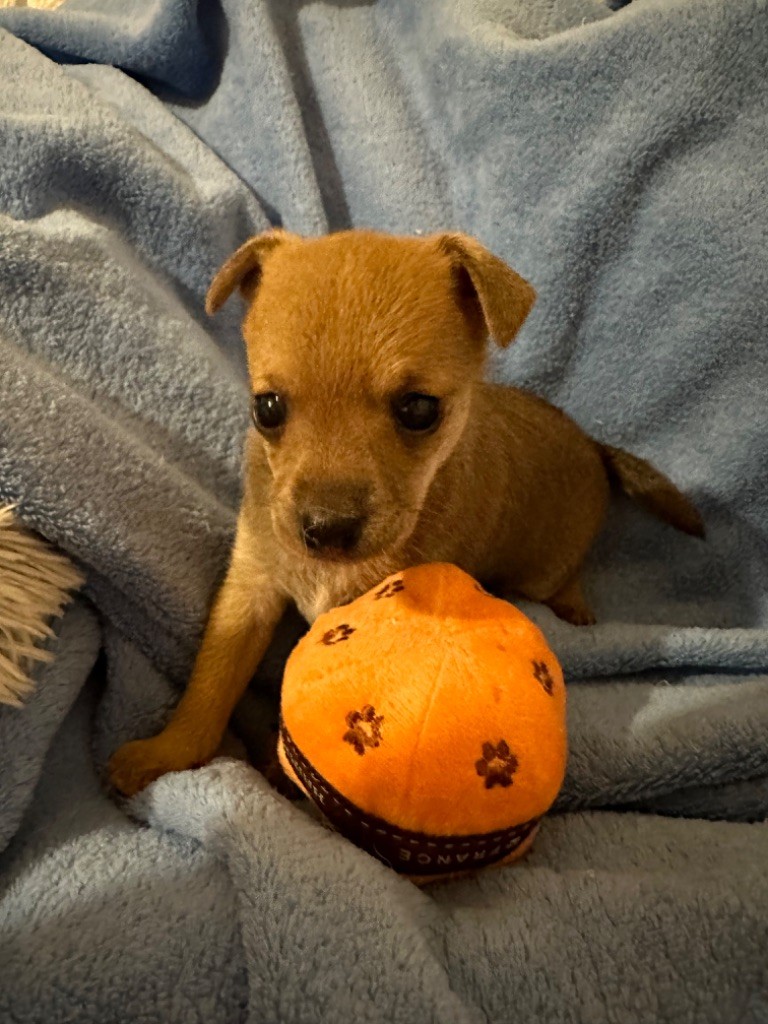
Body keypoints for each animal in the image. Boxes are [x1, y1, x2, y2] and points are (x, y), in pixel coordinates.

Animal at [108, 228, 704, 794]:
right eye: (267, 408)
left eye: (419, 410)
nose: (326, 530)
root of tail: (593, 445)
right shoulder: (250, 585)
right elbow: (213, 678)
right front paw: (167, 754)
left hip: (545, 568)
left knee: (563, 576)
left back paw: (574, 606)